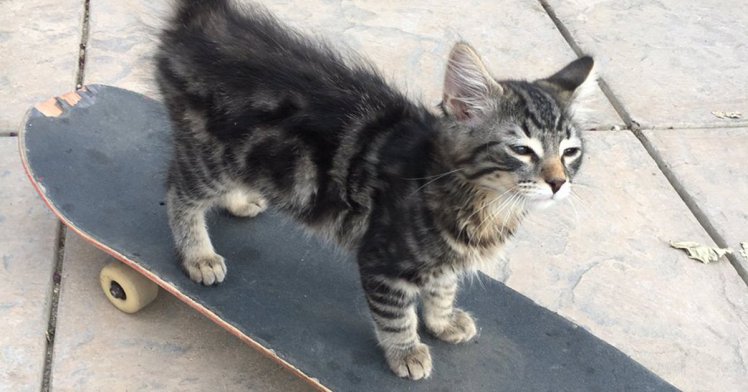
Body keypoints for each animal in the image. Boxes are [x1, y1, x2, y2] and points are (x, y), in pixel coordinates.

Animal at [158, 0, 596, 380]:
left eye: (570, 152)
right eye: (521, 150)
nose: (558, 183)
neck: (483, 203)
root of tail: (204, 18)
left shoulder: (442, 264)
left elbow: (442, 289)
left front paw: (441, 321)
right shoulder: (382, 261)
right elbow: (396, 316)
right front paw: (407, 352)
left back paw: (239, 200)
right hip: (211, 157)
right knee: (178, 191)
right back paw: (198, 255)